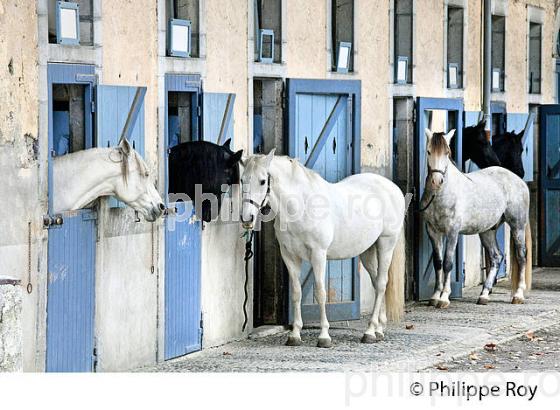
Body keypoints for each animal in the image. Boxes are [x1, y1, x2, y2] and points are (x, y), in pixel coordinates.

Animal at [238, 149, 404, 348]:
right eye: (242, 179)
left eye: (263, 181)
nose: (247, 218)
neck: (302, 206)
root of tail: (392, 188)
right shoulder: (289, 256)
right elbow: (296, 293)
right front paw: (294, 335)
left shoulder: (318, 254)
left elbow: (320, 292)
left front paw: (324, 336)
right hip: (367, 252)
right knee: (377, 281)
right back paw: (379, 329)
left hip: (386, 244)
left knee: (381, 284)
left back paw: (370, 331)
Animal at [422, 128, 532, 308]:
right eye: (429, 151)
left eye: (447, 152)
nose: (437, 181)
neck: (442, 194)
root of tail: (517, 179)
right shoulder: (433, 231)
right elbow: (438, 262)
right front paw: (435, 296)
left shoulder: (452, 232)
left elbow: (448, 263)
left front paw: (444, 298)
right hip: (487, 231)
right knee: (496, 257)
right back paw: (484, 295)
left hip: (518, 226)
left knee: (521, 256)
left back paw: (518, 295)